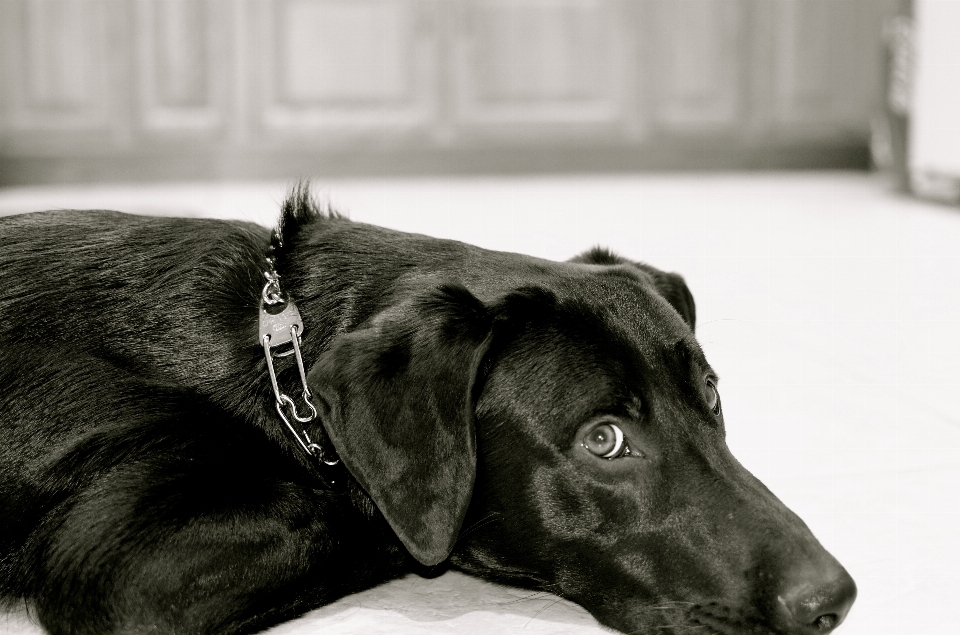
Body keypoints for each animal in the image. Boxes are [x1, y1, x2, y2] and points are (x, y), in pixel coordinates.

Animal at [0, 189, 856, 635]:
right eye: (604, 438)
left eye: (710, 394)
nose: (833, 599)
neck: (280, 351)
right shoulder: (117, 572)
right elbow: (373, 517)